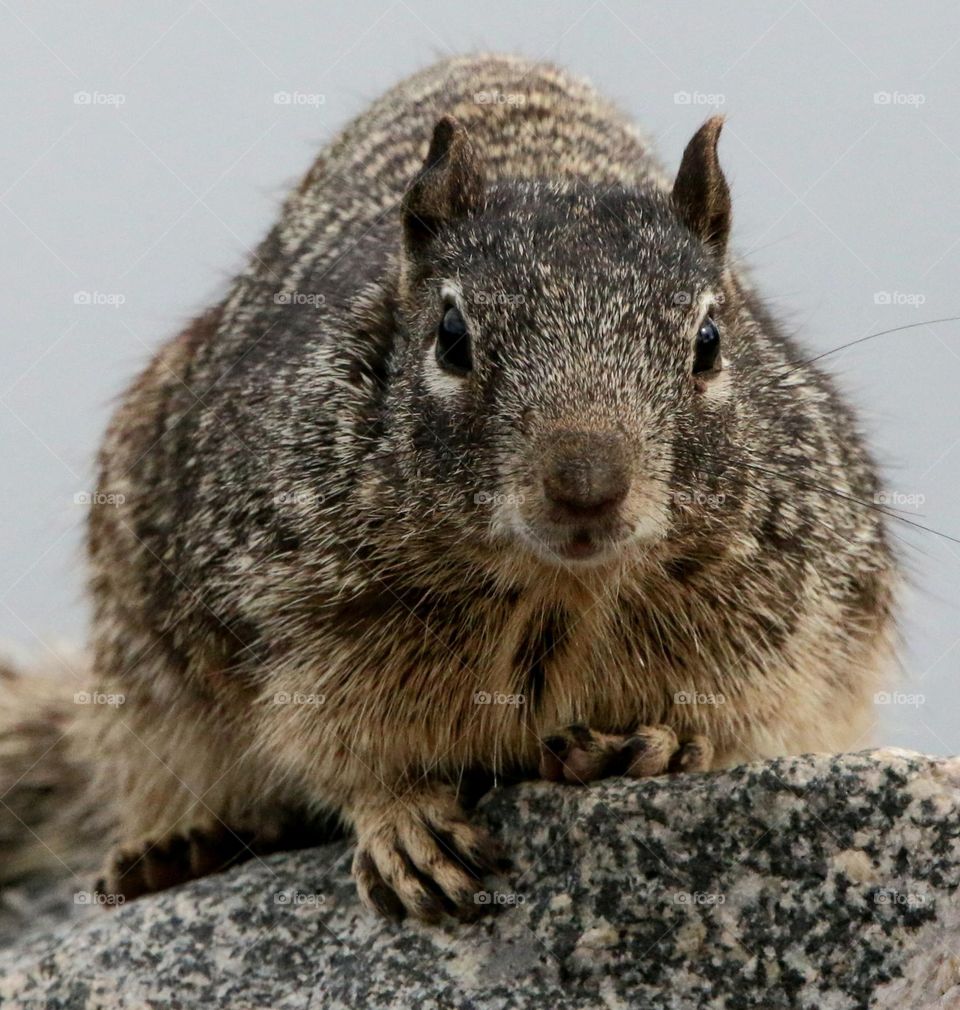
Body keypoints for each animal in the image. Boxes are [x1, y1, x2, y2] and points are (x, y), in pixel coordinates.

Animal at [0, 54, 895, 924]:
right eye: (452, 337)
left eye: (708, 340)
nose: (586, 488)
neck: (556, 590)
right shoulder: (292, 615)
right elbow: (341, 747)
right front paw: (406, 822)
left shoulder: (791, 618)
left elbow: (746, 716)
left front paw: (662, 741)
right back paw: (179, 849)